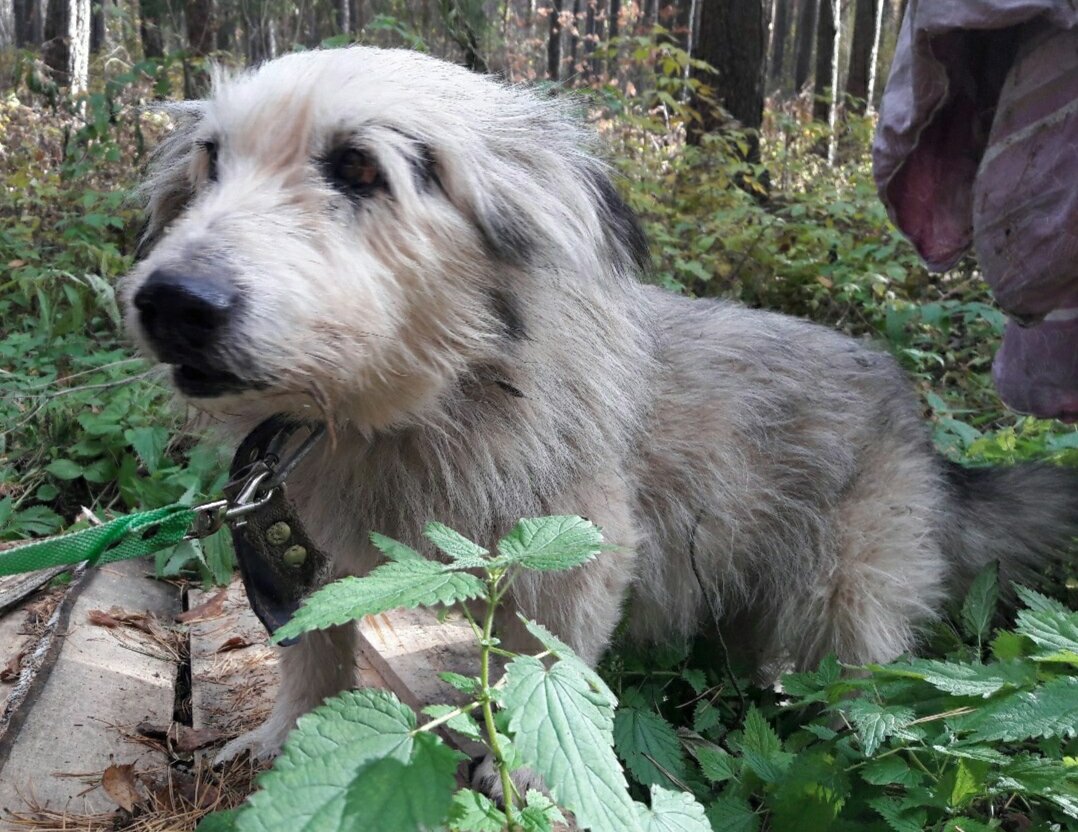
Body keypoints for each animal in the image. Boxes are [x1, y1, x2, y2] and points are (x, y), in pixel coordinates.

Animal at [120, 45, 1078, 758]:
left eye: (359, 167)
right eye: (210, 162)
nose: (171, 303)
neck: (420, 411)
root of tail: (922, 432)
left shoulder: (571, 568)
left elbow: (541, 690)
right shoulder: (299, 567)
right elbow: (314, 662)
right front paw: (284, 737)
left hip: (846, 606)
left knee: (861, 686)